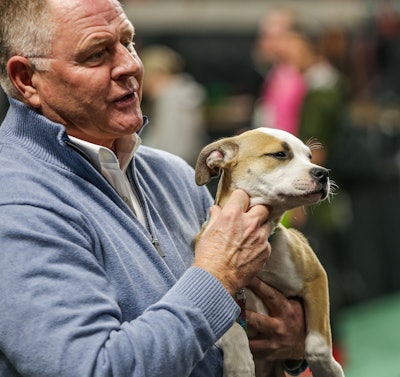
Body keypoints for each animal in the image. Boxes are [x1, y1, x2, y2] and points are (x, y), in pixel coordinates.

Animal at [195, 128, 344, 376]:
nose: (323, 173)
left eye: (309, 157)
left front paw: (327, 368)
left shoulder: (316, 278)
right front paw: (239, 363)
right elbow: (232, 329)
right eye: (280, 154)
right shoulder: (212, 286)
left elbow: (318, 344)